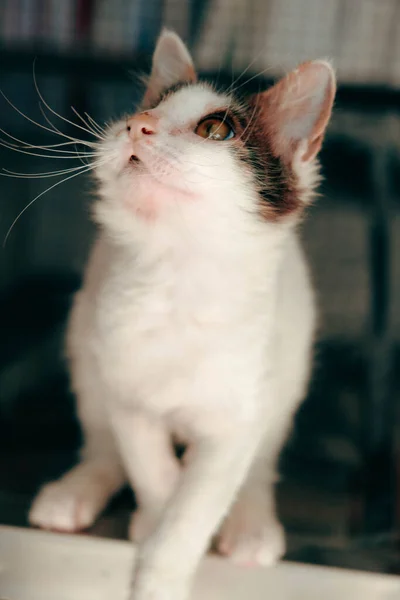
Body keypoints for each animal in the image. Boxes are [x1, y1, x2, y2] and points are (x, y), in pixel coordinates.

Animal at [29, 30, 334, 600]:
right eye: (141, 110)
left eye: (215, 129)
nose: (137, 125)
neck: (176, 278)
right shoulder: (126, 392)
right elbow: (151, 470)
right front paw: (154, 517)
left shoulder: (237, 420)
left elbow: (197, 504)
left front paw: (161, 569)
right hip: (84, 348)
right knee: (103, 446)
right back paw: (74, 493)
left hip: (286, 379)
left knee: (260, 466)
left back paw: (251, 525)